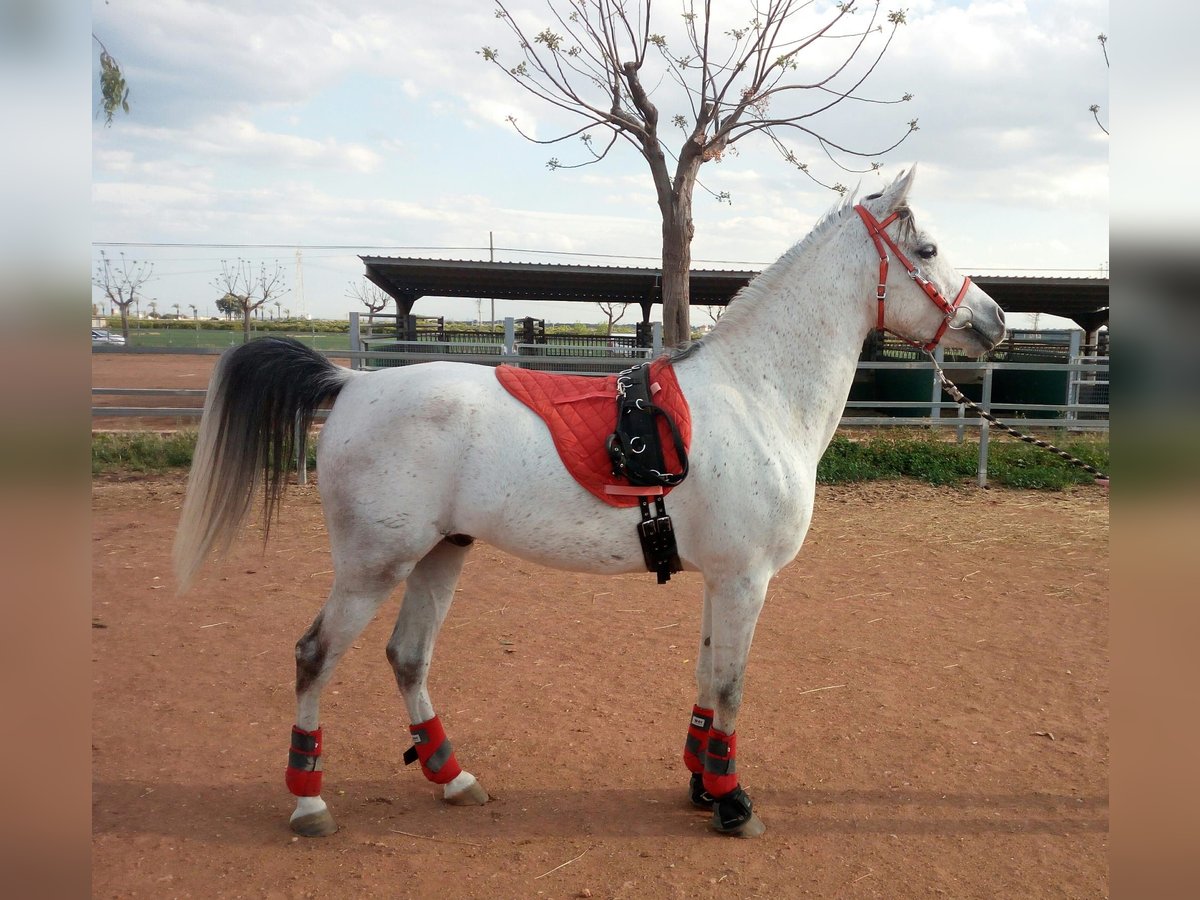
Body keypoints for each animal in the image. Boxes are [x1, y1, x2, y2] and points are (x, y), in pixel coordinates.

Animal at [175, 169, 1003, 840]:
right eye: (928, 248)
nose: (993, 321)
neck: (756, 393)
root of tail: (351, 382)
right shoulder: (745, 579)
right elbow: (731, 685)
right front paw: (733, 802)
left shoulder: (722, 578)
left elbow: (706, 676)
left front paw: (703, 783)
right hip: (373, 565)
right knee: (314, 656)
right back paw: (309, 802)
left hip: (441, 554)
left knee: (407, 657)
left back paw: (454, 777)